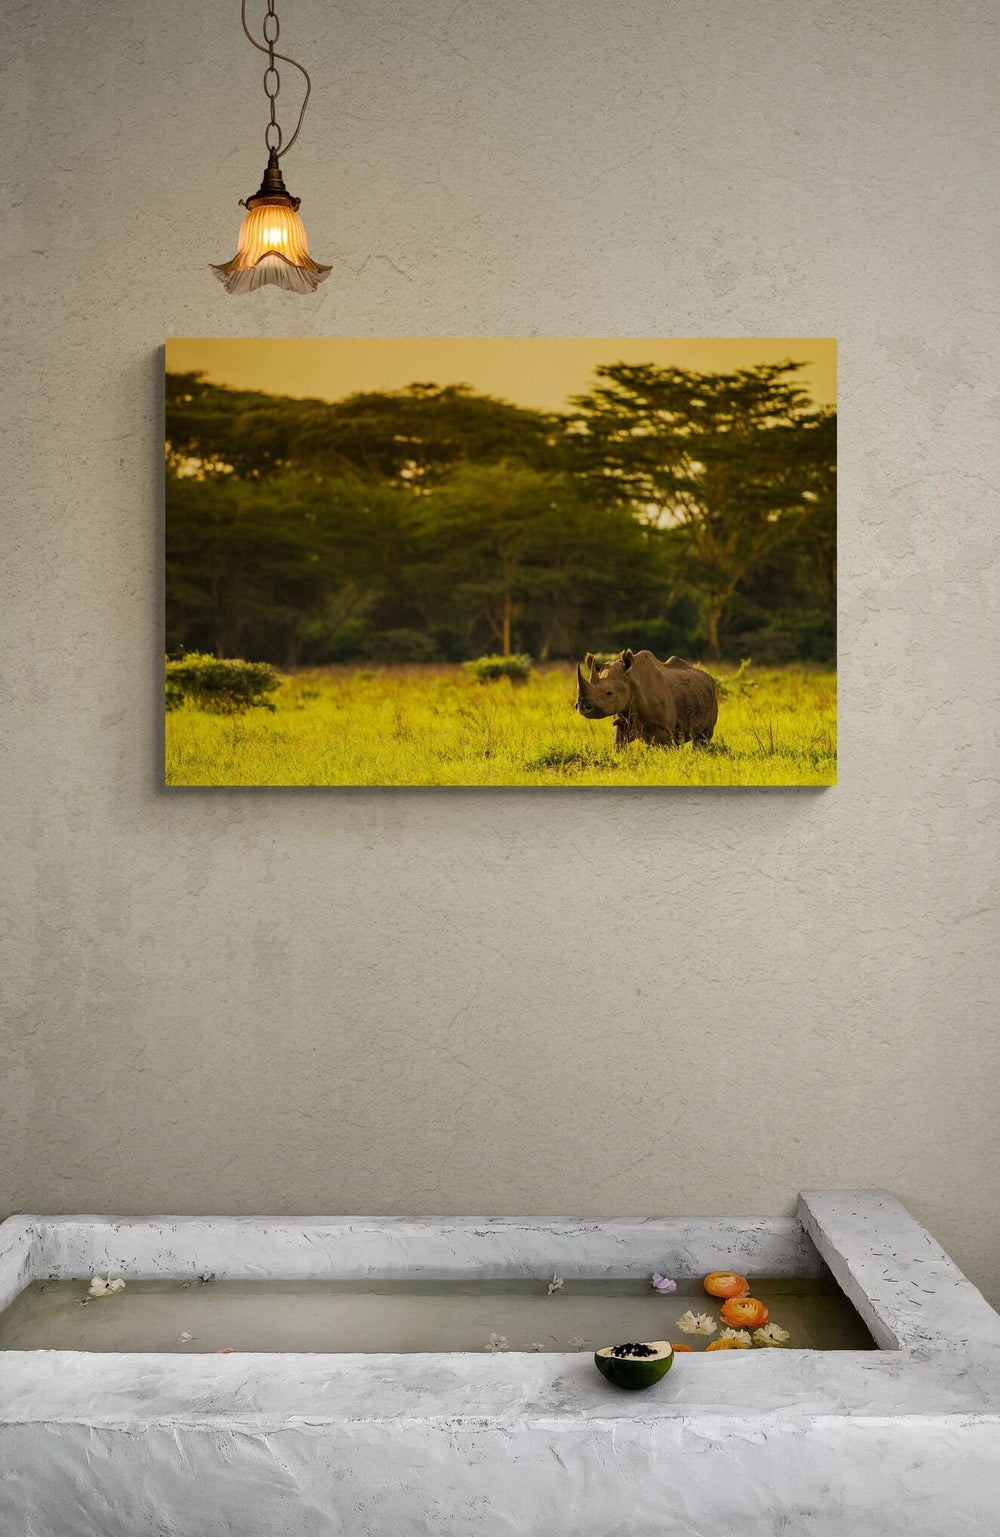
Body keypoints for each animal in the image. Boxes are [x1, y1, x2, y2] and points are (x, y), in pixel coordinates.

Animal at [575, 649, 718, 748]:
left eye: (609, 693)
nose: (581, 706)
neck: (631, 679)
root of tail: (709, 676)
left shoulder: (664, 727)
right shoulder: (620, 720)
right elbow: (618, 744)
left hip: (711, 695)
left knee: (703, 737)